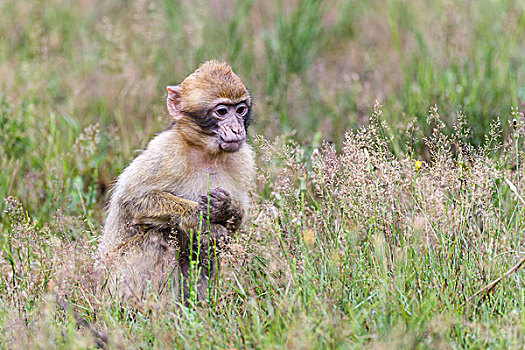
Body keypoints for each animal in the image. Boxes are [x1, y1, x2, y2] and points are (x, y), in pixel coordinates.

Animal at [98, 60, 256, 304]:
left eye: (240, 110)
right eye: (221, 111)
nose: (237, 129)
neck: (206, 153)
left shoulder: (244, 160)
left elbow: (237, 221)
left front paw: (227, 207)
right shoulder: (167, 151)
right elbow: (132, 199)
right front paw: (202, 220)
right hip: (112, 282)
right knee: (156, 236)